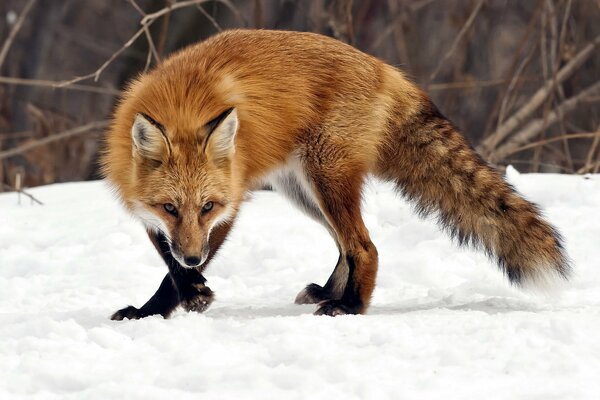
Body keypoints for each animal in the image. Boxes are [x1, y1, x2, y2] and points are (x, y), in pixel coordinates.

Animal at [101, 29, 568, 320]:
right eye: (169, 207)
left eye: (207, 206)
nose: (195, 259)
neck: (182, 103)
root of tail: (387, 69)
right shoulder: (152, 216)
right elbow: (170, 262)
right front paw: (154, 309)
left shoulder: (230, 203)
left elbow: (174, 272)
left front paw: (182, 298)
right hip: (302, 190)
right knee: (346, 247)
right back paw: (330, 293)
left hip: (326, 179)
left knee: (365, 246)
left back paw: (350, 307)